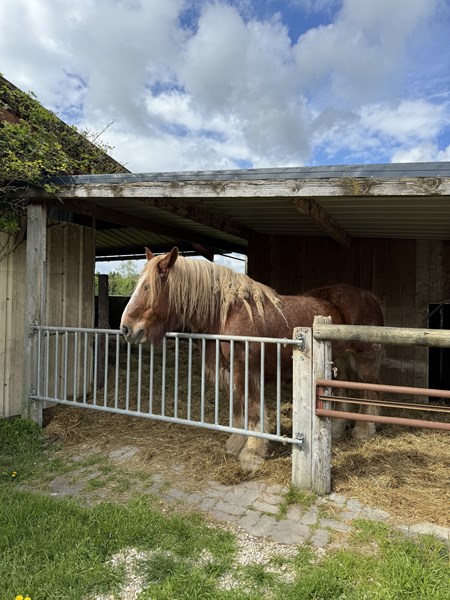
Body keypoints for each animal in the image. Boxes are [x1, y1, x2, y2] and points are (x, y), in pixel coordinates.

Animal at [120, 247, 384, 474]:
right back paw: (338, 428)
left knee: (369, 389)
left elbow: (254, 411)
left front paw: (252, 453)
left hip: (365, 357)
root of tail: (369, 296)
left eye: (147, 287)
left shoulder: (246, 370)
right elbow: (239, 408)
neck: (227, 314)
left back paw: (364, 430)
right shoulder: (228, 371)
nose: (126, 329)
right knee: (343, 389)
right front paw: (236, 443)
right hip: (339, 357)